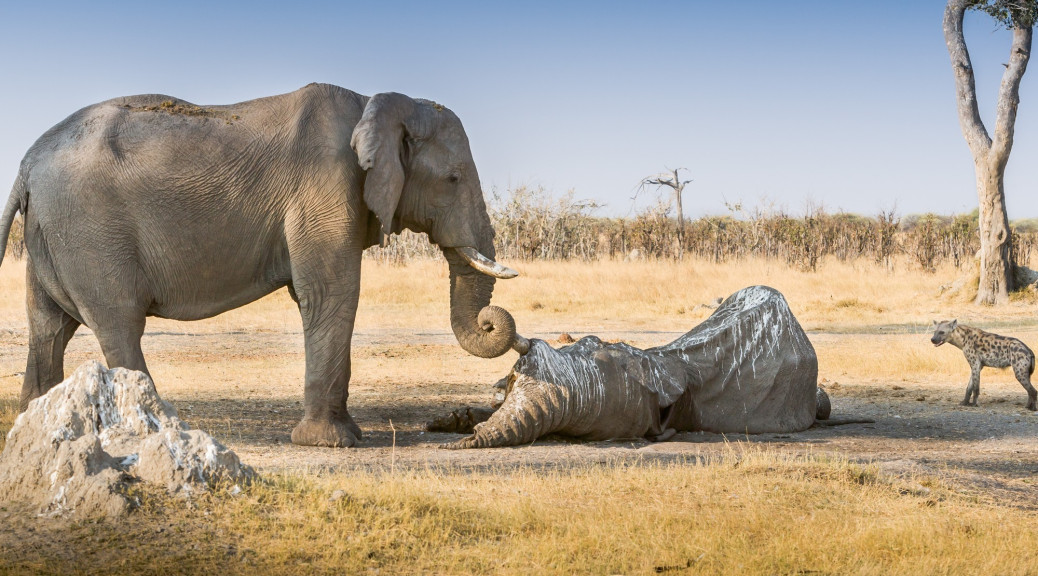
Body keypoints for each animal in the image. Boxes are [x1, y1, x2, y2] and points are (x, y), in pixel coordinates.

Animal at [0, 83, 519, 448]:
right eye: (453, 178)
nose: (491, 323)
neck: (375, 102)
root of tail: (27, 161)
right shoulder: (326, 188)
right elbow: (331, 293)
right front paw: (332, 443)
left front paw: (346, 434)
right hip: (89, 230)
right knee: (119, 324)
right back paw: (155, 430)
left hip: (53, 232)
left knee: (49, 326)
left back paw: (34, 426)